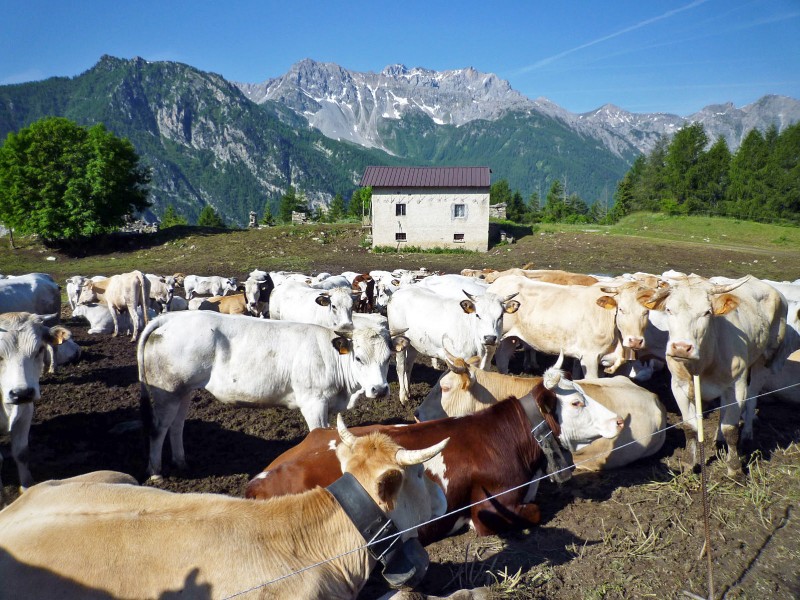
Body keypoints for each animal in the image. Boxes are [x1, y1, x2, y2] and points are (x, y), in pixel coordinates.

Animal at [386, 284, 520, 404]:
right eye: (477, 315)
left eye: (501, 315)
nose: (490, 338)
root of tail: (401, 291)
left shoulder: (486, 364)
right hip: (398, 337)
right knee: (401, 366)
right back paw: (403, 397)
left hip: (413, 343)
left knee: (409, 365)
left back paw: (409, 393)